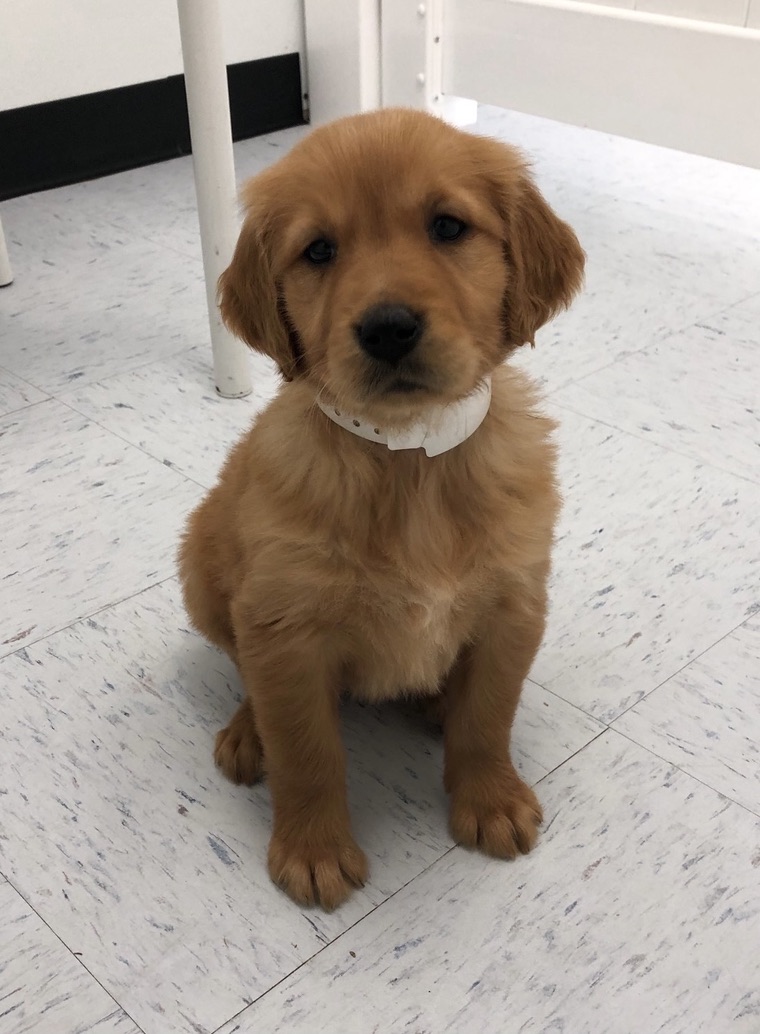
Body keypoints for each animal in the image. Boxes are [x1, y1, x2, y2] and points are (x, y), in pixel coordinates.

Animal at [180, 109, 587, 909]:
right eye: (319, 250)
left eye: (448, 227)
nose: (388, 327)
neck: (407, 461)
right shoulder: (284, 627)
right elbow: (306, 749)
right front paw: (313, 850)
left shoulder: (513, 604)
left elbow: (488, 717)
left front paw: (490, 799)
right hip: (201, 568)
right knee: (242, 668)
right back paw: (247, 732)